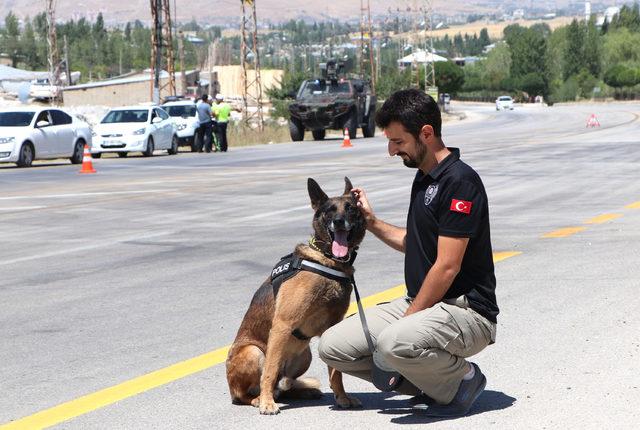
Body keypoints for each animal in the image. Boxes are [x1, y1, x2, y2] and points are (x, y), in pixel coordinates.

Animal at [226, 176, 364, 414]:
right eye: (329, 211)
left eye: (350, 208)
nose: (338, 222)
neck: (326, 259)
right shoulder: (282, 325)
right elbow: (269, 371)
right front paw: (267, 403)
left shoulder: (332, 327)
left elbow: (335, 372)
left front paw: (342, 397)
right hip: (254, 352)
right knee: (249, 391)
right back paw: (260, 398)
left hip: (305, 356)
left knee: (284, 387)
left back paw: (303, 392)